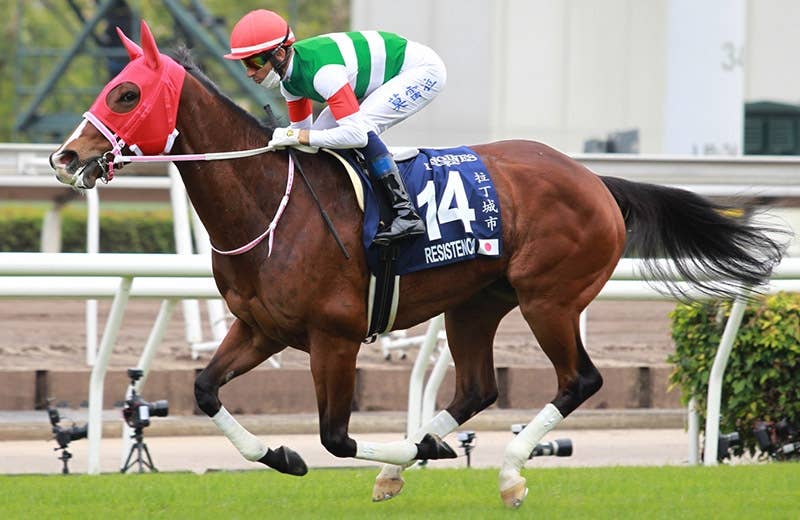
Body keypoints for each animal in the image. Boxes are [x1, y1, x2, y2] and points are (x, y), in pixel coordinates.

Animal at [49, 21, 786, 508]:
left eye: (125, 94)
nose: (64, 156)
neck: (269, 207)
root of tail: (594, 179)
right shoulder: (261, 328)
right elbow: (205, 391)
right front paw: (281, 455)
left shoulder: (335, 337)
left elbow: (337, 438)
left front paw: (350, 454)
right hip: (476, 304)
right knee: (477, 389)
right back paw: (419, 456)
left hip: (549, 298)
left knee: (579, 380)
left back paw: (506, 470)